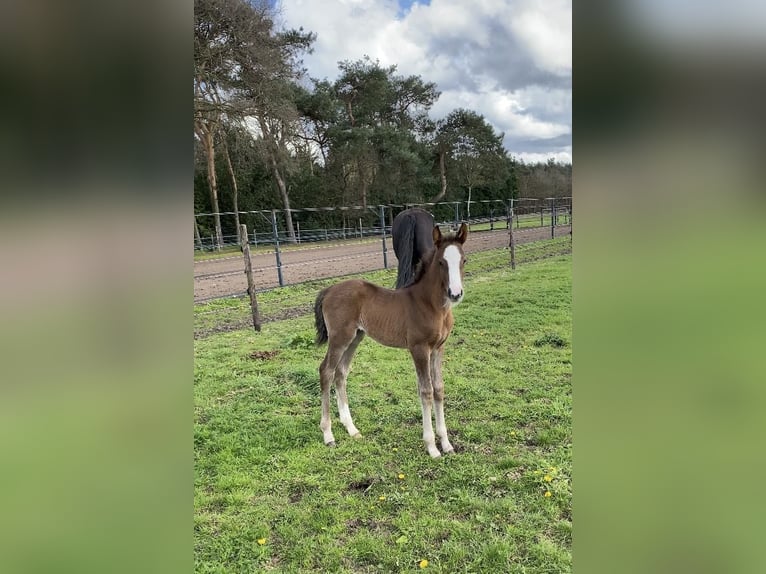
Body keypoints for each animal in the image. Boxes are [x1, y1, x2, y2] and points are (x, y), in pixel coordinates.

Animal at [316, 224, 472, 460]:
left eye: (463, 260)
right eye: (440, 262)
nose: (455, 293)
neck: (431, 306)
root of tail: (329, 290)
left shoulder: (438, 348)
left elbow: (438, 389)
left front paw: (446, 444)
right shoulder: (419, 348)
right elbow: (426, 391)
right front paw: (432, 447)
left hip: (355, 337)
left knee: (341, 373)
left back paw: (351, 429)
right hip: (339, 337)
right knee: (326, 371)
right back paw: (328, 434)